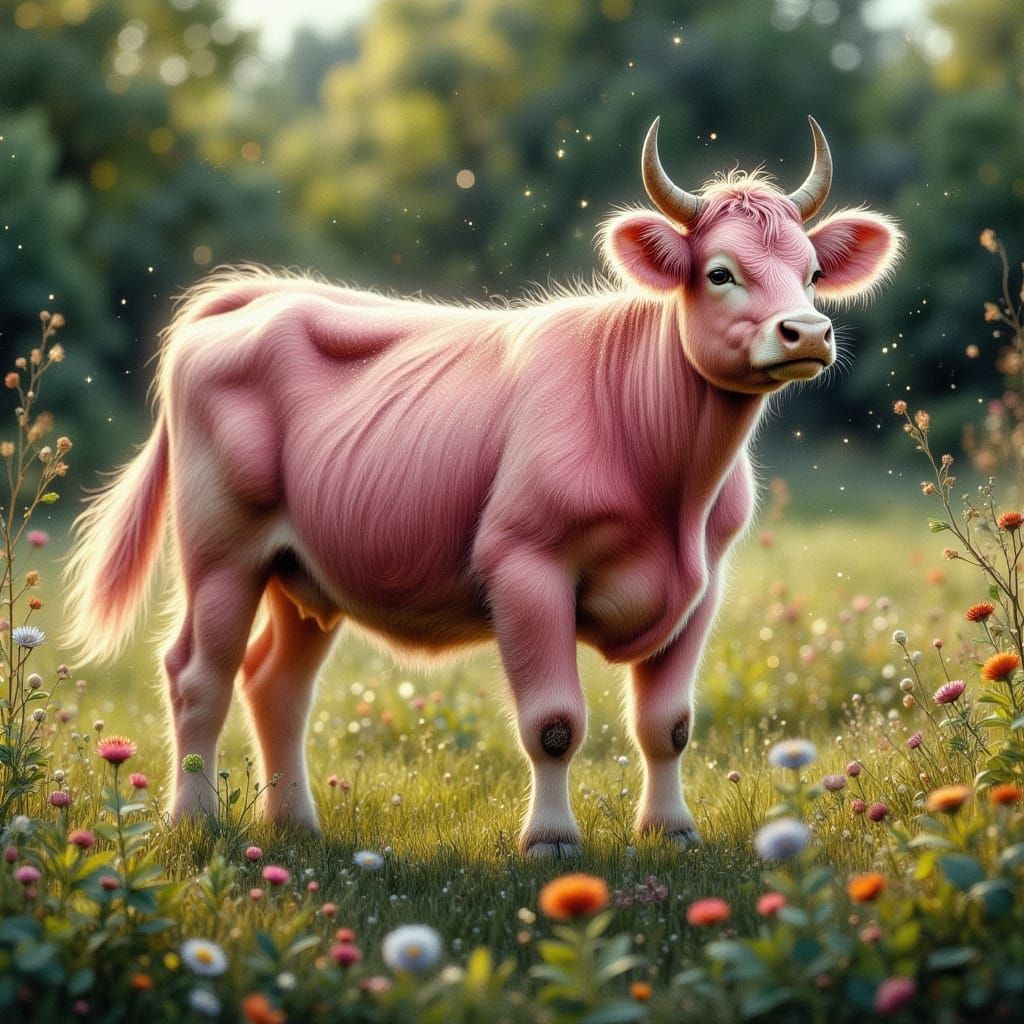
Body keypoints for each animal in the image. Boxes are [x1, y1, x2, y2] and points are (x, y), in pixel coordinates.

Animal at [65, 117, 901, 857]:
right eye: (720, 272)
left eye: (813, 273)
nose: (807, 333)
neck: (671, 487)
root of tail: (264, 294)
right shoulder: (524, 566)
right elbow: (554, 723)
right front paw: (552, 841)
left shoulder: (704, 584)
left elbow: (667, 724)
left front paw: (671, 831)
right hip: (221, 553)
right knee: (197, 677)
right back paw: (194, 822)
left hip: (301, 570)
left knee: (276, 686)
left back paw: (295, 827)